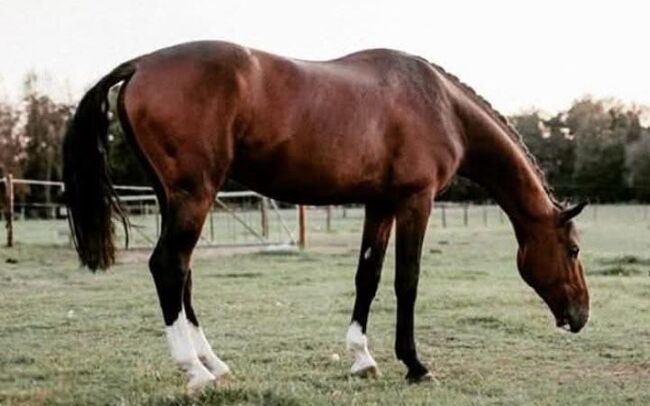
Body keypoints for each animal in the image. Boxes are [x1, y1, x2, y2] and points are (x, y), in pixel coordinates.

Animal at [63, 40, 590, 392]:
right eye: (573, 249)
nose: (580, 315)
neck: (440, 104)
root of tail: (140, 64)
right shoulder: (415, 201)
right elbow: (407, 281)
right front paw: (415, 365)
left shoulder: (380, 204)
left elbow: (367, 277)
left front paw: (362, 358)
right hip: (195, 196)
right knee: (169, 267)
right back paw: (195, 372)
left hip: (175, 197)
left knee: (183, 274)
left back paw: (214, 363)